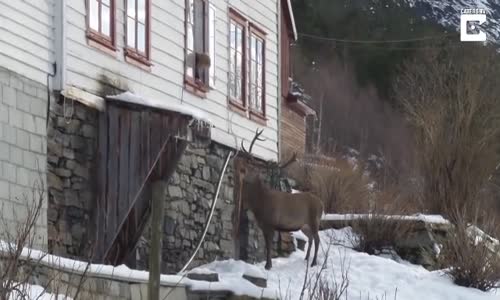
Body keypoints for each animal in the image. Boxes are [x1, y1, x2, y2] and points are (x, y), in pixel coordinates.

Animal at [235, 128, 322, 270]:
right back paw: (306, 259)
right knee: (311, 238)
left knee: (317, 239)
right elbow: (266, 245)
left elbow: (269, 246)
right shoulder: (263, 225)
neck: (260, 204)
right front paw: (267, 264)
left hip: (315, 220)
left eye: (254, 169)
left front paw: (268, 265)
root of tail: (322, 204)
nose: (241, 170)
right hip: (304, 225)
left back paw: (313, 263)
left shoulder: (271, 223)